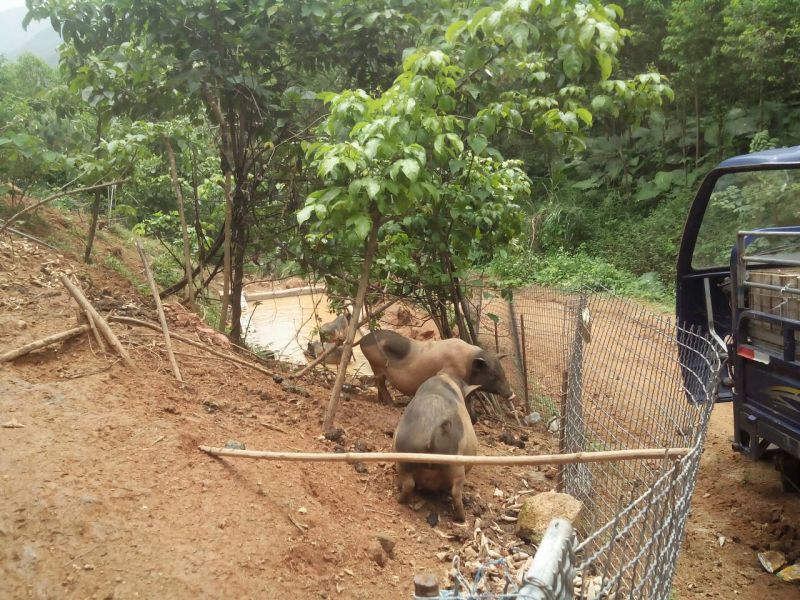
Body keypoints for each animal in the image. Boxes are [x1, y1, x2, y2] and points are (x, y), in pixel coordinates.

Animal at [356, 330, 512, 406]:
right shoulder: (447, 372)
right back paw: (392, 404)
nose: (512, 394)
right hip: (376, 364)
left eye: (503, 372)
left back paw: (381, 402)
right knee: (380, 383)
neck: (467, 362)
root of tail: (363, 340)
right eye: (492, 375)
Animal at [390, 376, 478, 520]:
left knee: (409, 483)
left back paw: (400, 500)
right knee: (456, 491)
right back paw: (461, 518)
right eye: (470, 399)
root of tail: (433, 430)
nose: (475, 419)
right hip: (455, 465)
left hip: (404, 456)